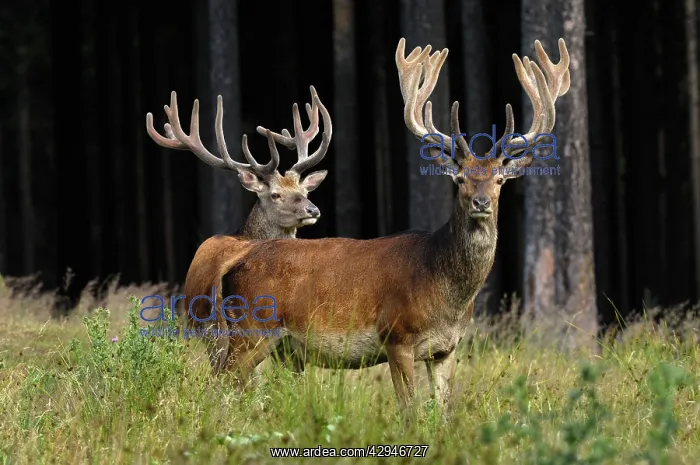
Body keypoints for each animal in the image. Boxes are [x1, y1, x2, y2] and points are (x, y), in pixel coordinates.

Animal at [195, 37, 570, 410]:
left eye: (499, 180)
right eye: (460, 178)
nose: (481, 203)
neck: (446, 295)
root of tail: (237, 259)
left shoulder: (447, 349)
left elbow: (442, 412)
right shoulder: (396, 335)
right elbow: (410, 411)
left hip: (280, 346)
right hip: (251, 329)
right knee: (218, 384)